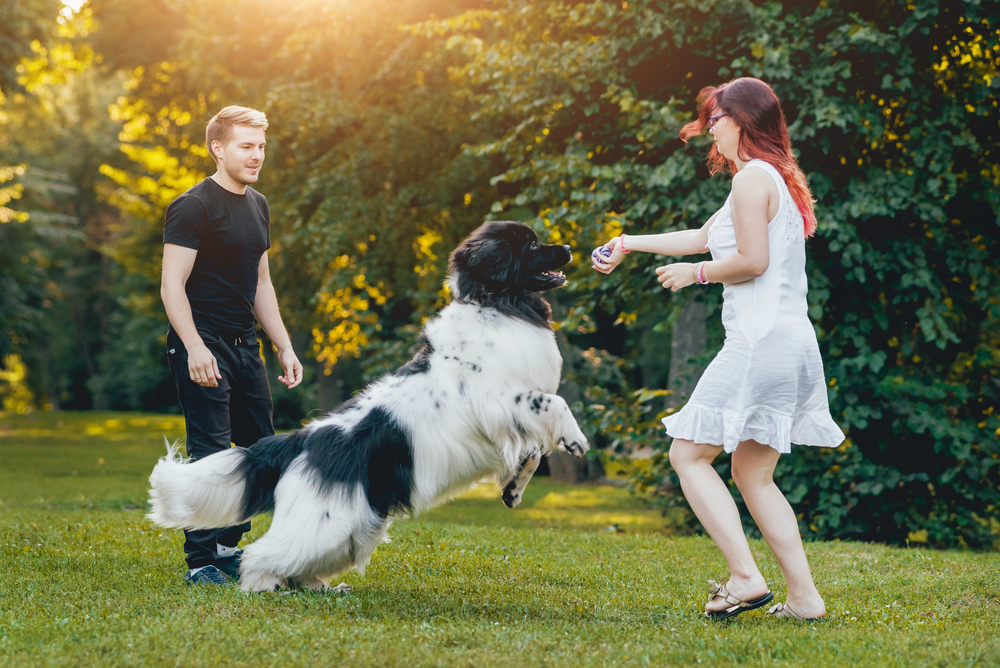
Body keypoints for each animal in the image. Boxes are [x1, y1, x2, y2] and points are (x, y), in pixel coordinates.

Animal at [145, 222, 588, 592]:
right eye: (531, 244)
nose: (568, 247)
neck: (496, 304)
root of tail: (304, 438)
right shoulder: (500, 402)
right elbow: (555, 403)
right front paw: (576, 440)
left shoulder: (508, 422)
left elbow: (532, 453)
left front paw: (513, 491)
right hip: (327, 519)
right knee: (263, 553)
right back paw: (264, 587)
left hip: (358, 521)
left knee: (304, 562)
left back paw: (320, 588)